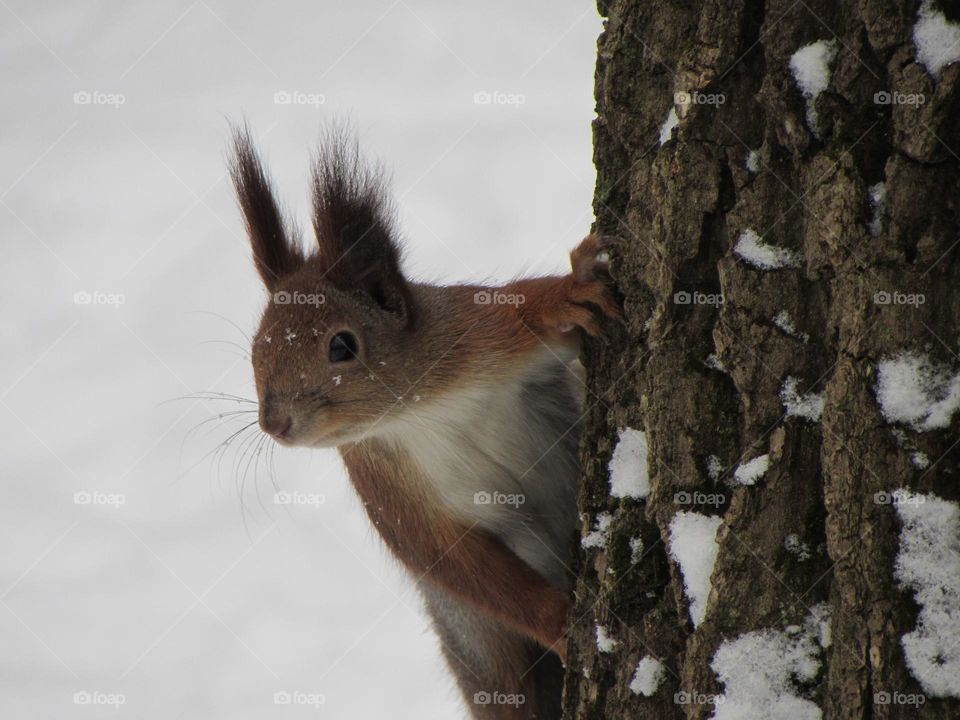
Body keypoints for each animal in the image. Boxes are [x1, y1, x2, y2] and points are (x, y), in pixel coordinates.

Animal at [229, 125, 618, 720]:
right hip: (478, 644)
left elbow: (530, 312)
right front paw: (558, 623)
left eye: (342, 345)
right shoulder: (390, 490)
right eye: (256, 347)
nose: (275, 424)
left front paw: (569, 291)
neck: (415, 413)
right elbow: (450, 559)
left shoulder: (479, 336)